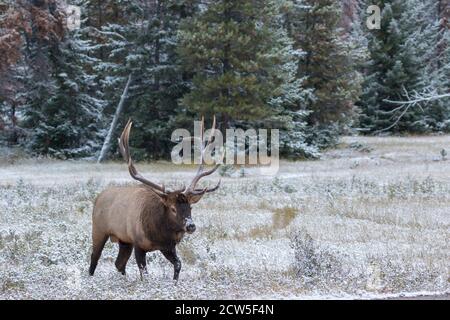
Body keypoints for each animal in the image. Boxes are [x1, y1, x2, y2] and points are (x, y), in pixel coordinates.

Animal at [89, 117, 221, 280]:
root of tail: (98, 197)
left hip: (123, 240)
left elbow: (178, 264)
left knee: (119, 263)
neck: (158, 234)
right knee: (94, 258)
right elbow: (144, 273)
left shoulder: (168, 246)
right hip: (99, 229)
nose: (191, 226)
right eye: (172, 208)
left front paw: (174, 282)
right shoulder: (138, 243)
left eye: (190, 207)